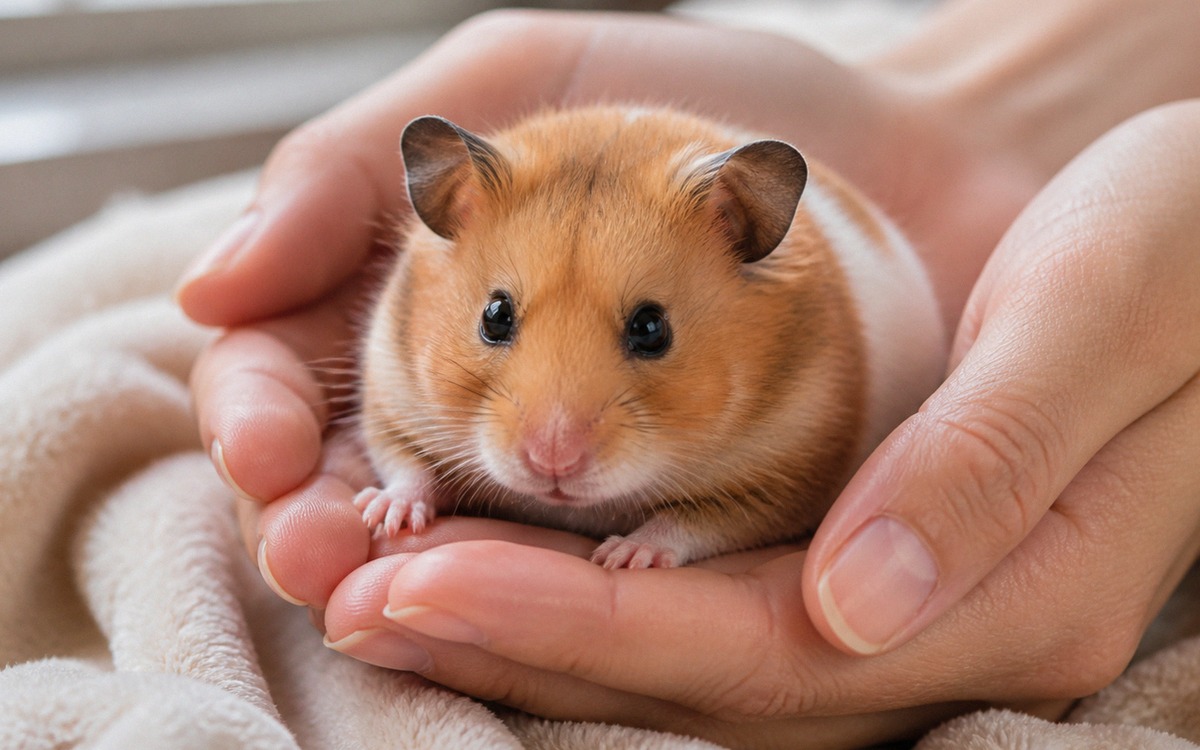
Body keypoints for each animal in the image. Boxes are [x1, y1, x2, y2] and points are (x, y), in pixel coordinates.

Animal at [353, 106, 946, 569]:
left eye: (650, 328)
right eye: (494, 316)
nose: (552, 462)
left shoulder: (788, 479)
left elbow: (693, 522)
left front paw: (622, 556)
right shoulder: (389, 394)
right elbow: (404, 464)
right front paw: (383, 518)